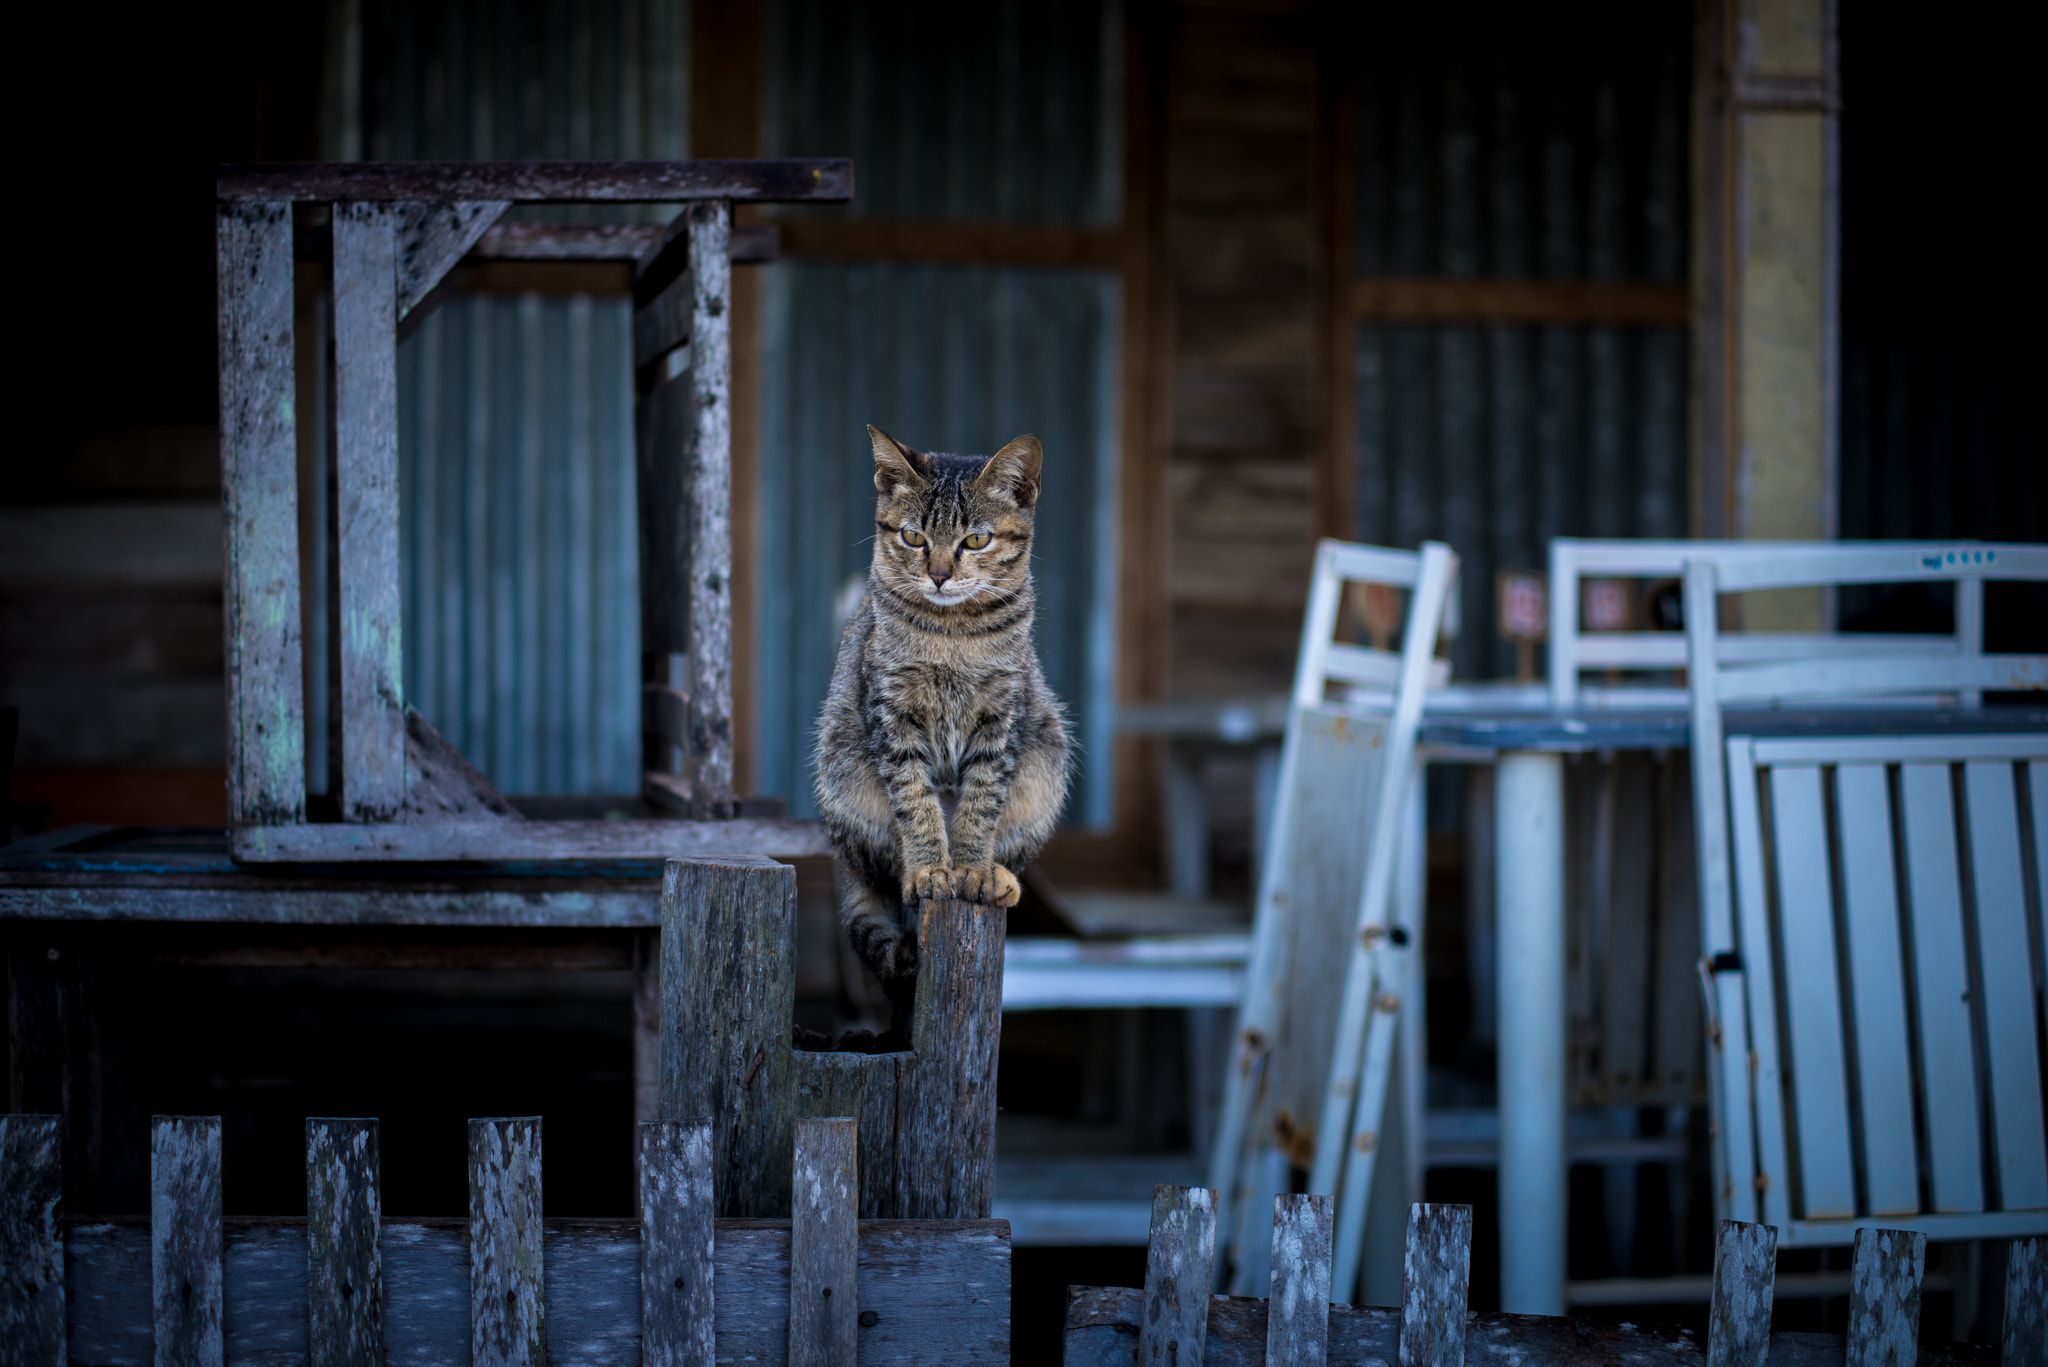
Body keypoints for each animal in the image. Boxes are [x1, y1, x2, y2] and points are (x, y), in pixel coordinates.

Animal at [811, 428, 1081, 1037]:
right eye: (913, 536)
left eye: (976, 540)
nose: (937, 573)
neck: (953, 635)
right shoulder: (892, 716)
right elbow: (916, 802)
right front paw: (933, 866)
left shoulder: (1001, 720)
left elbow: (980, 804)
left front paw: (971, 869)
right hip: (844, 777)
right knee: (886, 876)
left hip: (1045, 768)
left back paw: (998, 874)